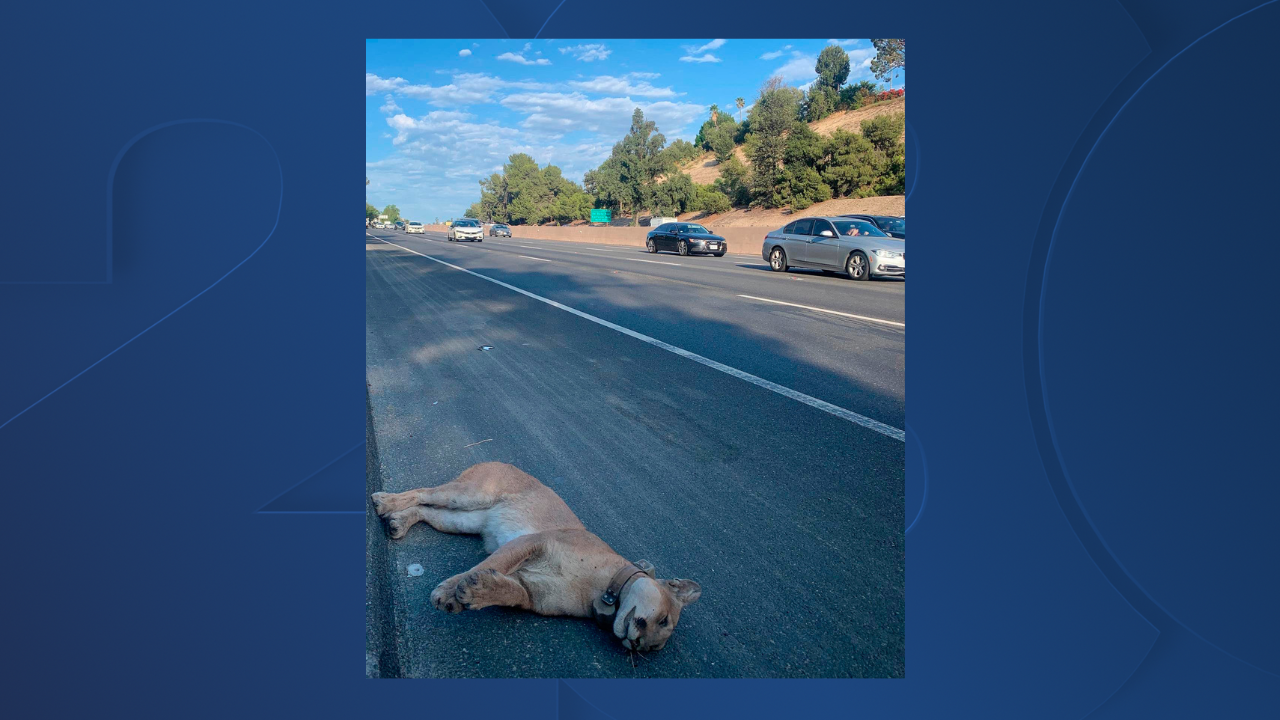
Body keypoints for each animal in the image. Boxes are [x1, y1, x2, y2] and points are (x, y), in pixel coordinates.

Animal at [371, 462, 701, 652]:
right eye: (663, 619)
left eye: (653, 650)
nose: (636, 643)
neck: (602, 589)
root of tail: (497, 459)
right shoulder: (535, 541)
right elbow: (492, 563)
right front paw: (451, 591)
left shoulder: (533, 593)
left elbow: (509, 591)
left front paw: (479, 591)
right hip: (468, 495)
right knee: (425, 492)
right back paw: (384, 501)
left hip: (465, 520)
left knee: (428, 511)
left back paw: (398, 521)